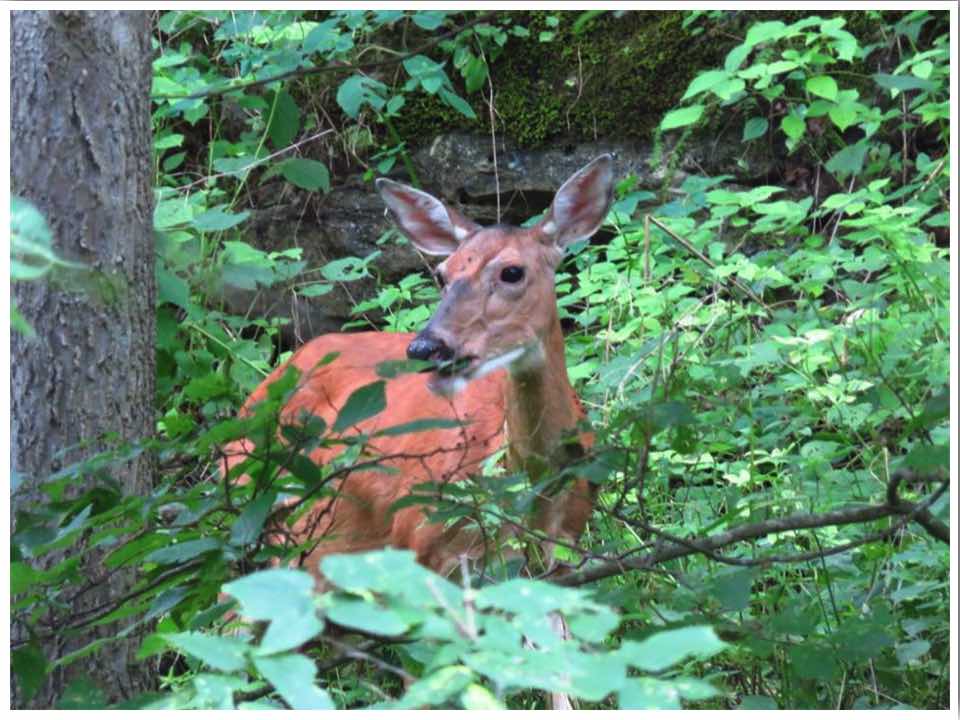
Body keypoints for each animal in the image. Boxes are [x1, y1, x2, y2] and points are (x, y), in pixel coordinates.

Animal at [222, 155, 615, 707]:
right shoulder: (422, 546)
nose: (428, 346)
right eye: (443, 274)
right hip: (255, 513)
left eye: (512, 271)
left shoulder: (561, 558)